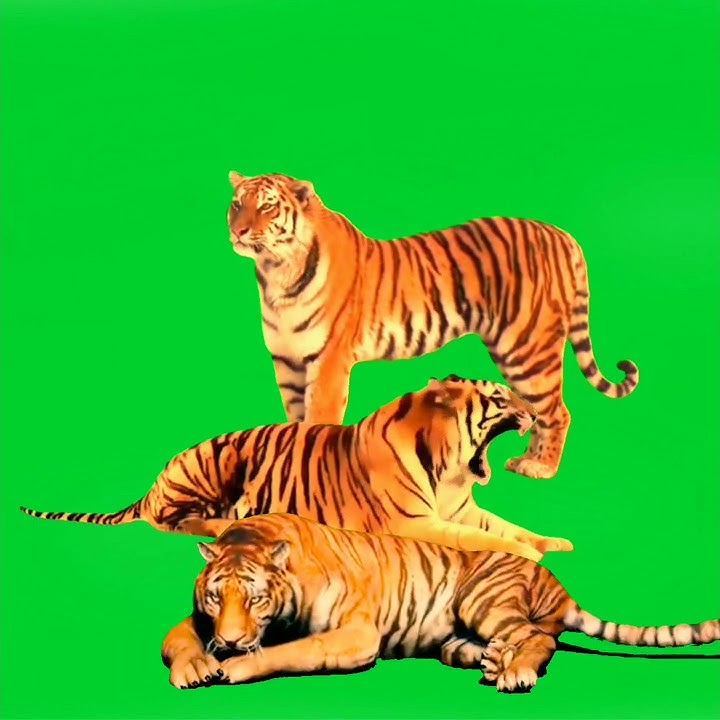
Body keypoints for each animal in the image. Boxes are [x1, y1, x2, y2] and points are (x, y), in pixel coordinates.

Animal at [19, 376, 573, 562]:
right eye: (500, 398)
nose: (532, 413)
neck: (450, 468)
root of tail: (154, 482)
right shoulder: (414, 523)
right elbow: (484, 539)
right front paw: (530, 553)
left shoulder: (461, 509)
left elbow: (508, 526)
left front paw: (553, 542)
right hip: (212, 465)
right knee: (172, 522)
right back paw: (220, 523)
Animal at [162, 512, 720, 693]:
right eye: (215, 597)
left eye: (256, 599)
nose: (230, 640)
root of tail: (557, 584)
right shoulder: (197, 620)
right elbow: (176, 639)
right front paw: (194, 667)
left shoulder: (356, 635)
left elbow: (291, 651)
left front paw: (236, 666)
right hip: (455, 636)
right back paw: (494, 660)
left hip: (482, 598)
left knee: (539, 637)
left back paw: (515, 671)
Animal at [226, 170, 640, 479]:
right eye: (237, 204)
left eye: (267, 206)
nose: (239, 231)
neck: (275, 272)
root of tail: (561, 233)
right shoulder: (287, 361)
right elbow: (295, 420)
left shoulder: (328, 362)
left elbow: (318, 420)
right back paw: (527, 460)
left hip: (527, 347)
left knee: (557, 410)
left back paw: (539, 467)